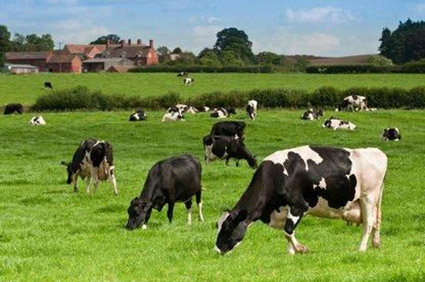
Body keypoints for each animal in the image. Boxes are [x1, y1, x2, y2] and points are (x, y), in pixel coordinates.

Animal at [215, 147, 388, 254]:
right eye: (218, 226)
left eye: (227, 227)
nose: (216, 250)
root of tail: (377, 151)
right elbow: (289, 230)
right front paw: (290, 253)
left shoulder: (299, 205)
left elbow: (287, 230)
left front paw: (300, 249)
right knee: (376, 221)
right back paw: (376, 244)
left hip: (368, 197)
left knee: (368, 223)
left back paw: (361, 249)